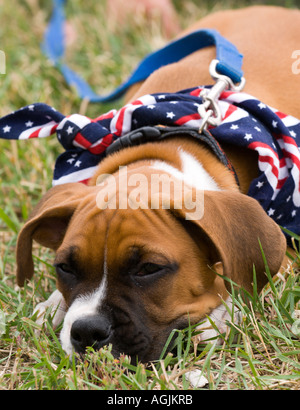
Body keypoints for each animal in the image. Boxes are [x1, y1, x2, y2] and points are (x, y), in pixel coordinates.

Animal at [16, 6, 298, 362]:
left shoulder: (284, 262)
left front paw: (219, 320)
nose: (86, 331)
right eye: (64, 267)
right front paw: (54, 305)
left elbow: (242, 284)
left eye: (148, 269)